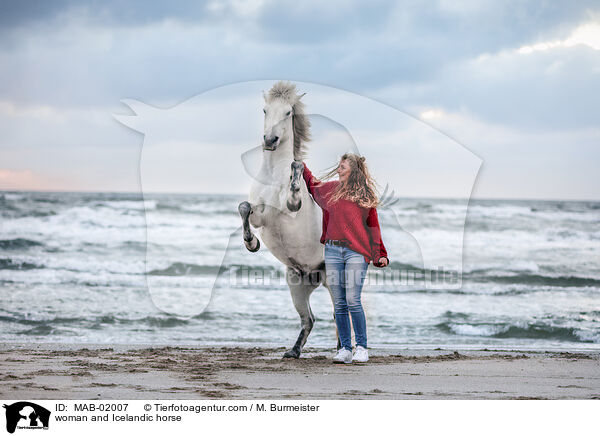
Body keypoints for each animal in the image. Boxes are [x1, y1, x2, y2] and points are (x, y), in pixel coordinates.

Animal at [237, 81, 336, 358]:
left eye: (288, 112)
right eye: (264, 109)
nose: (270, 140)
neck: (273, 176)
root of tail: (315, 276)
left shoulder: (288, 211)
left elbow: (293, 198)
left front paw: (296, 173)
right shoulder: (260, 216)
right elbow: (244, 208)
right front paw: (251, 243)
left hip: (337, 281)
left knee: (345, 313)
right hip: (296, 285)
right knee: (309, 319)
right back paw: (293, 351)